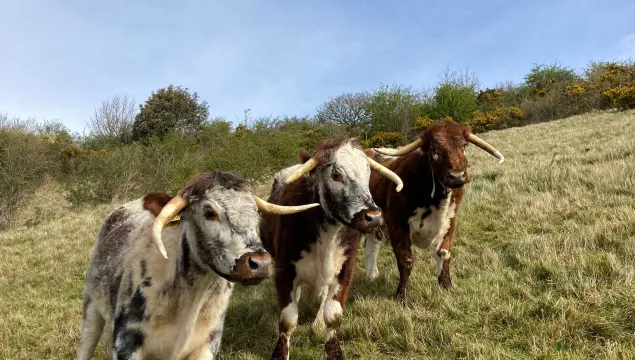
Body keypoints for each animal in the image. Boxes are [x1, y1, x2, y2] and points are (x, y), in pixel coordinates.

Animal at [77, 171, 320, 360]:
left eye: (257, 213)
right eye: (210, 213)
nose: (260, 263)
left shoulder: (206, 346)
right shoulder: (126, 344)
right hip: (91, 312)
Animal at [262, 137, 404, 360]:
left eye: (368, 174)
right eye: (336, 175)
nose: (373, 216)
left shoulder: (345, 270)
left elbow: (333, 315)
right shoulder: (284, 271)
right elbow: (287, 320)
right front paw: (280, 353)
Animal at [362, 120, 506, 304]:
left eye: (464, 145)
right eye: (434, 149)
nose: (457, 176)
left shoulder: (450, 221)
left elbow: (444, 254)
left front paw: (447, 287)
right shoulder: (397, 224)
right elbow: (405, 260)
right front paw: (401, 296)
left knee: (372, 243)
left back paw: (372, 275)